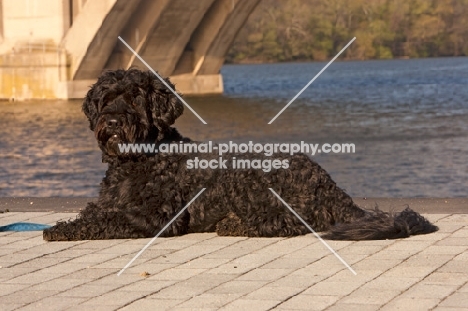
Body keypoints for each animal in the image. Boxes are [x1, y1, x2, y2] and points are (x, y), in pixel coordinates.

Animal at [42, 69, 436, 243]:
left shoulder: (156, 218)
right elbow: (96, 212)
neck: (138, 161)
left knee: (292, 222)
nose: (111, 121)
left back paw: (235, 224)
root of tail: (329, 184)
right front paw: (66, 223)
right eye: (107, 98)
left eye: (136, 99)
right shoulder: (109, 203)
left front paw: (64, 229)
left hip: (250, 180)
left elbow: (108, 221)